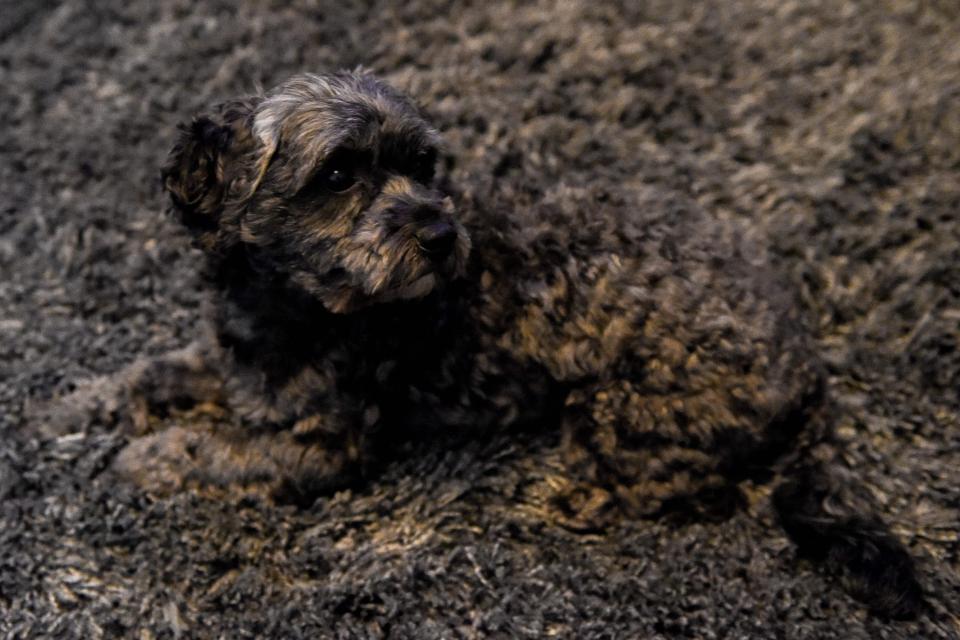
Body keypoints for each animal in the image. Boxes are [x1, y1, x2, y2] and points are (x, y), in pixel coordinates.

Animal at [39, 70, 924, 620]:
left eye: (422, 164)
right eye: (338, 174)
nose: (440, 234)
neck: (293, 306)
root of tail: (808, 365)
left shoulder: (323, 448)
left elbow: (214, 453)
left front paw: (144, 458)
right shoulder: (235, 361)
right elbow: (155, 370)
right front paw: (78, 404)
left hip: (627, 410)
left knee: (671, 487)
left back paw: (550, 497)